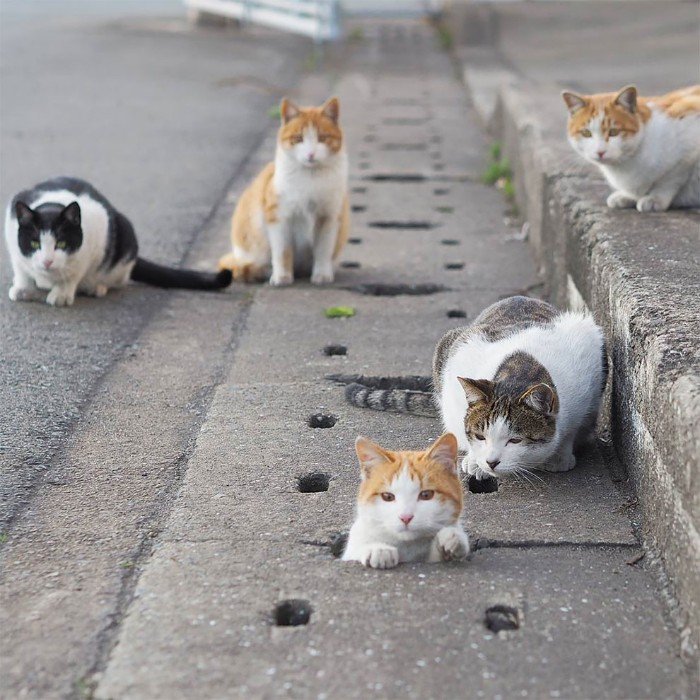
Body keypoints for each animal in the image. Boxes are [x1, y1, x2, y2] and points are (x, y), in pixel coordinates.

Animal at [4, 175, 231, 306]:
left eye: (61, 244)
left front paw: (61, 294)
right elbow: (21, 268)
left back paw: (96, 287)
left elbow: (74, 273)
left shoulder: (94, 239)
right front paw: (22, 288)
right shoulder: (11, 231)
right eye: (34, 243)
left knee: (118, 279)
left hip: (125, 235)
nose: (47, 261)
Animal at [219, 97, 350, 286]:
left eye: (322, 138)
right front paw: (282, 277)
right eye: (298, 138)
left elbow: (323, 251)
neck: (310, 177)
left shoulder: (329, 218)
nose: (311, 154)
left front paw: (322, 275)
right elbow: (282, 251)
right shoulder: (279, 218)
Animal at [564, 85, 700, 212]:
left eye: (614, 132)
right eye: (586, 133)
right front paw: (627, 196)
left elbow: (670, 180)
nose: (600, 152)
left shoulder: (688, 153)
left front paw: (655, 198)